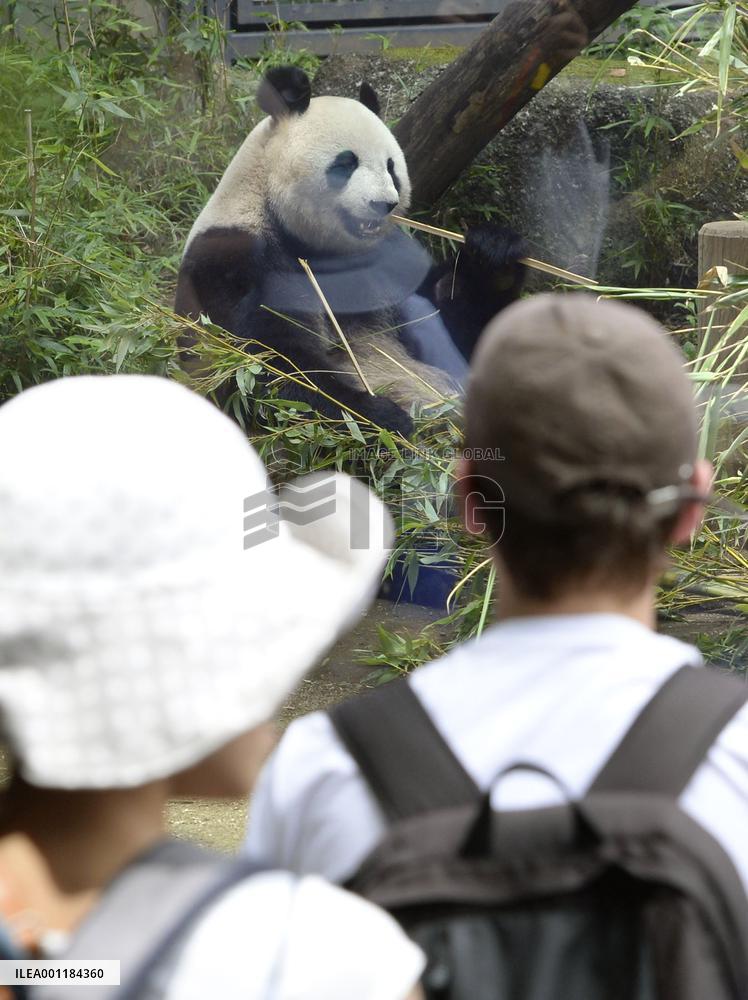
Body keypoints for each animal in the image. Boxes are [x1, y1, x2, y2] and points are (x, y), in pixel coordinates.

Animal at [176, 66, 526, 436]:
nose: (384, 204)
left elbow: (454, 327)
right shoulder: (236, 261)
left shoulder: (390, 261)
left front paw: (494, 255)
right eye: (346, 163)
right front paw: (382, 416)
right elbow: (262, 366)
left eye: (391, 167)